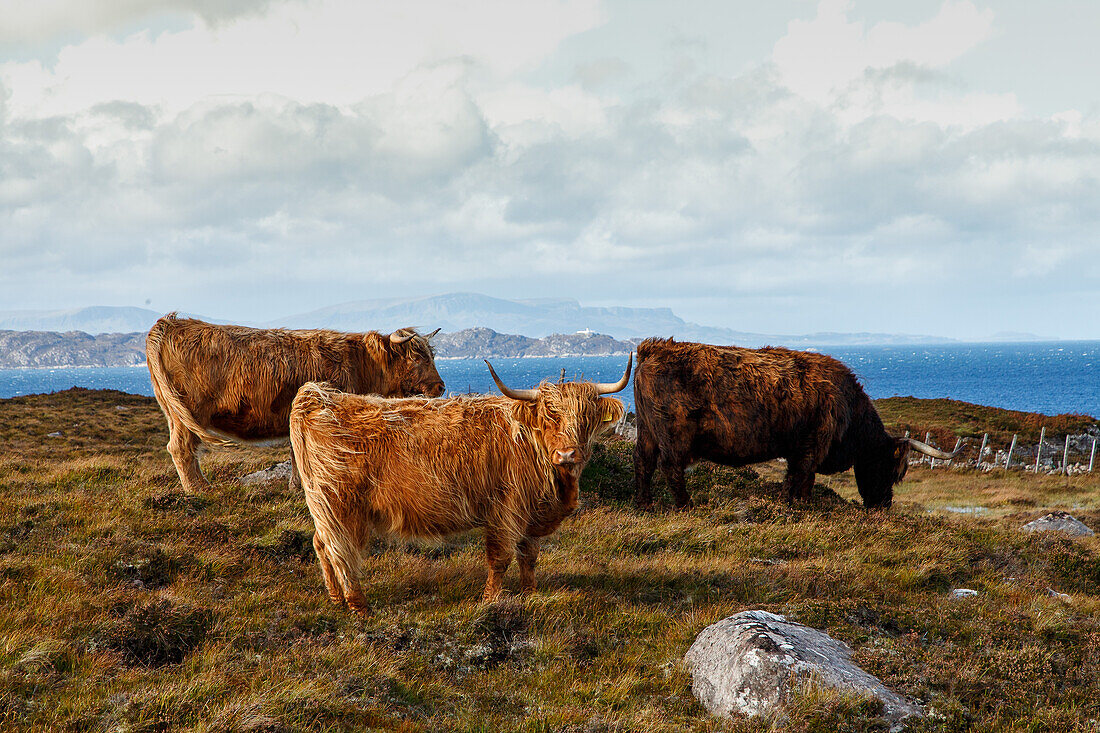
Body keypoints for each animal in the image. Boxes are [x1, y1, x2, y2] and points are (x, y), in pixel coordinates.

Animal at [148, 310, 444, 490]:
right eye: (417, 357)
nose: (440, 387)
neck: (363, 365)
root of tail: (171, 322)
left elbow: (296, 454)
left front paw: (296, 486)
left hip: (173, 412)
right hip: (190, 412)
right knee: (182, 448)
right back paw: (199, 489)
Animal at [288, 356, 633, 607]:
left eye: (585, 417)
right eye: (549, 417)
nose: (567, 454)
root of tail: (316, 396)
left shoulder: (531, 514)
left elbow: (529, 557)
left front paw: (530, 595)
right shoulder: (505, 510)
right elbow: (500, 558)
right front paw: (490, 600)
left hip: (325, 506)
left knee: (321, 543)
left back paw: (335, 599)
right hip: (339, 504)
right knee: (340, 550)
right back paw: (358, 605)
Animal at [633, 338, 959, 506]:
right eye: (887, 468)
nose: (882, 505)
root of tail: (653, 348)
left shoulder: (800, 449)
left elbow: (797, 479)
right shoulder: (810, 447)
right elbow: (801, 480)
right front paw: (796, 508)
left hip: (647, 430)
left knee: (643, 461)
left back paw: (644, 504)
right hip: (673, 432)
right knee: (670, 467)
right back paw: (685, 506)